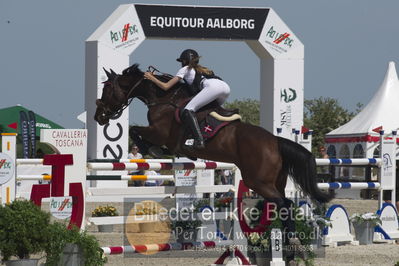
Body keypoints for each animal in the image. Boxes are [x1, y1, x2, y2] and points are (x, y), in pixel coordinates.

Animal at [94, 64, 334, 233]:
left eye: (107, 88)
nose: (99, 117)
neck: (162, 98)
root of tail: (275, 141)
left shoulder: (159, 132)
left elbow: (135, 130)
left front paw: (153, 150)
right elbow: (135, 131)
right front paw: (154, 150)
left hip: (258, 181)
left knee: (283, 203)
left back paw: (289, 241)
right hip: (276, 181)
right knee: (282, 204)